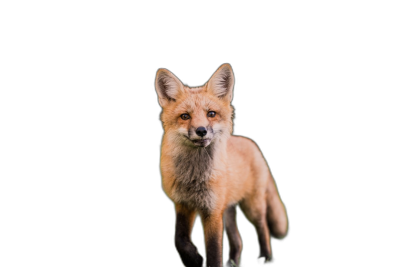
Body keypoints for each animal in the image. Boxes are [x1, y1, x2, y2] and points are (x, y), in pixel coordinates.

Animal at [155, 63, 290, 266]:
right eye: (185, 116)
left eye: (211, 114)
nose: (201, 130)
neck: (194, 178)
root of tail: (251, 143)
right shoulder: (183, 204)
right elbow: (179, 239)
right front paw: (194, 259)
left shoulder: (212, 211)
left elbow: (214, 251)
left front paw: (204, 261)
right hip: (227, 210)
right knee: (238, 240)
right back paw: (233, 261)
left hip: (252, 206)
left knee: (263, 227)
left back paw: (265, 257)